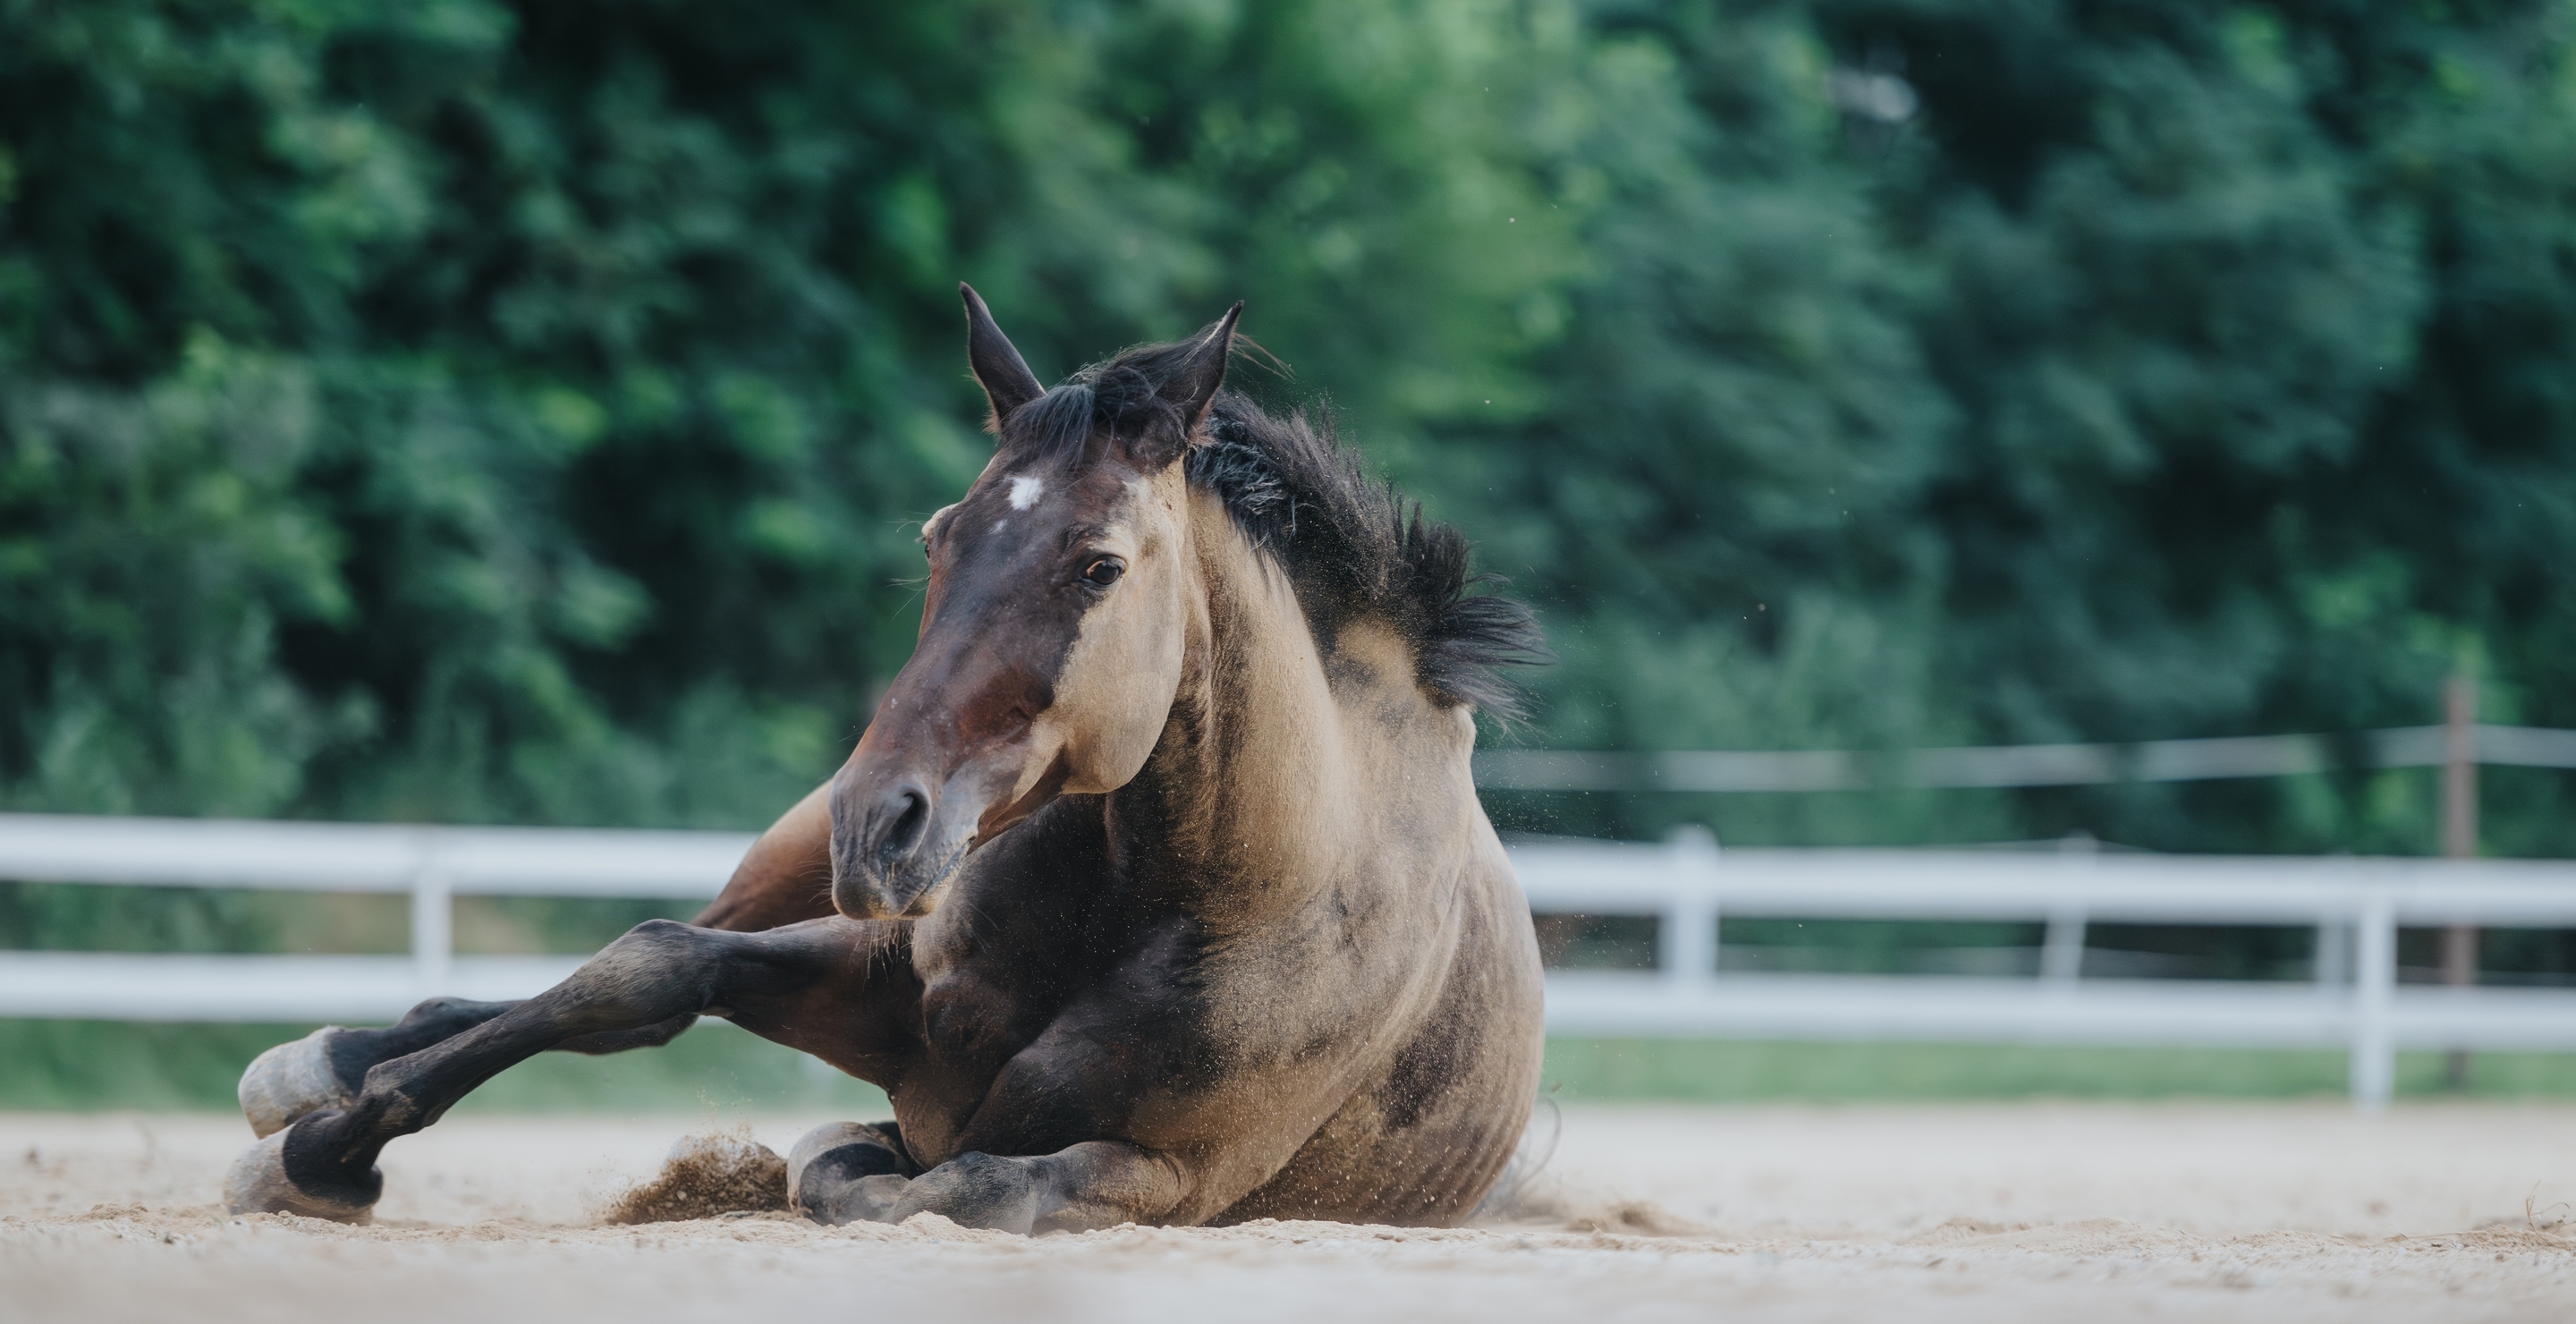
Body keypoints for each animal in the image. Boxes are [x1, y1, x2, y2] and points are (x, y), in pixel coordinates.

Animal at [224, 287, 1549, 1233]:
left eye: (1099, 567)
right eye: (938, 536)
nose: (882, 823)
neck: (1199, 892)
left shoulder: (1175, 1177)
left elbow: (957, 1185)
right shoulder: (877, 979)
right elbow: (647, 972)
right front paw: (321, 1154)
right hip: (789, 872)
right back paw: (316, 1066)